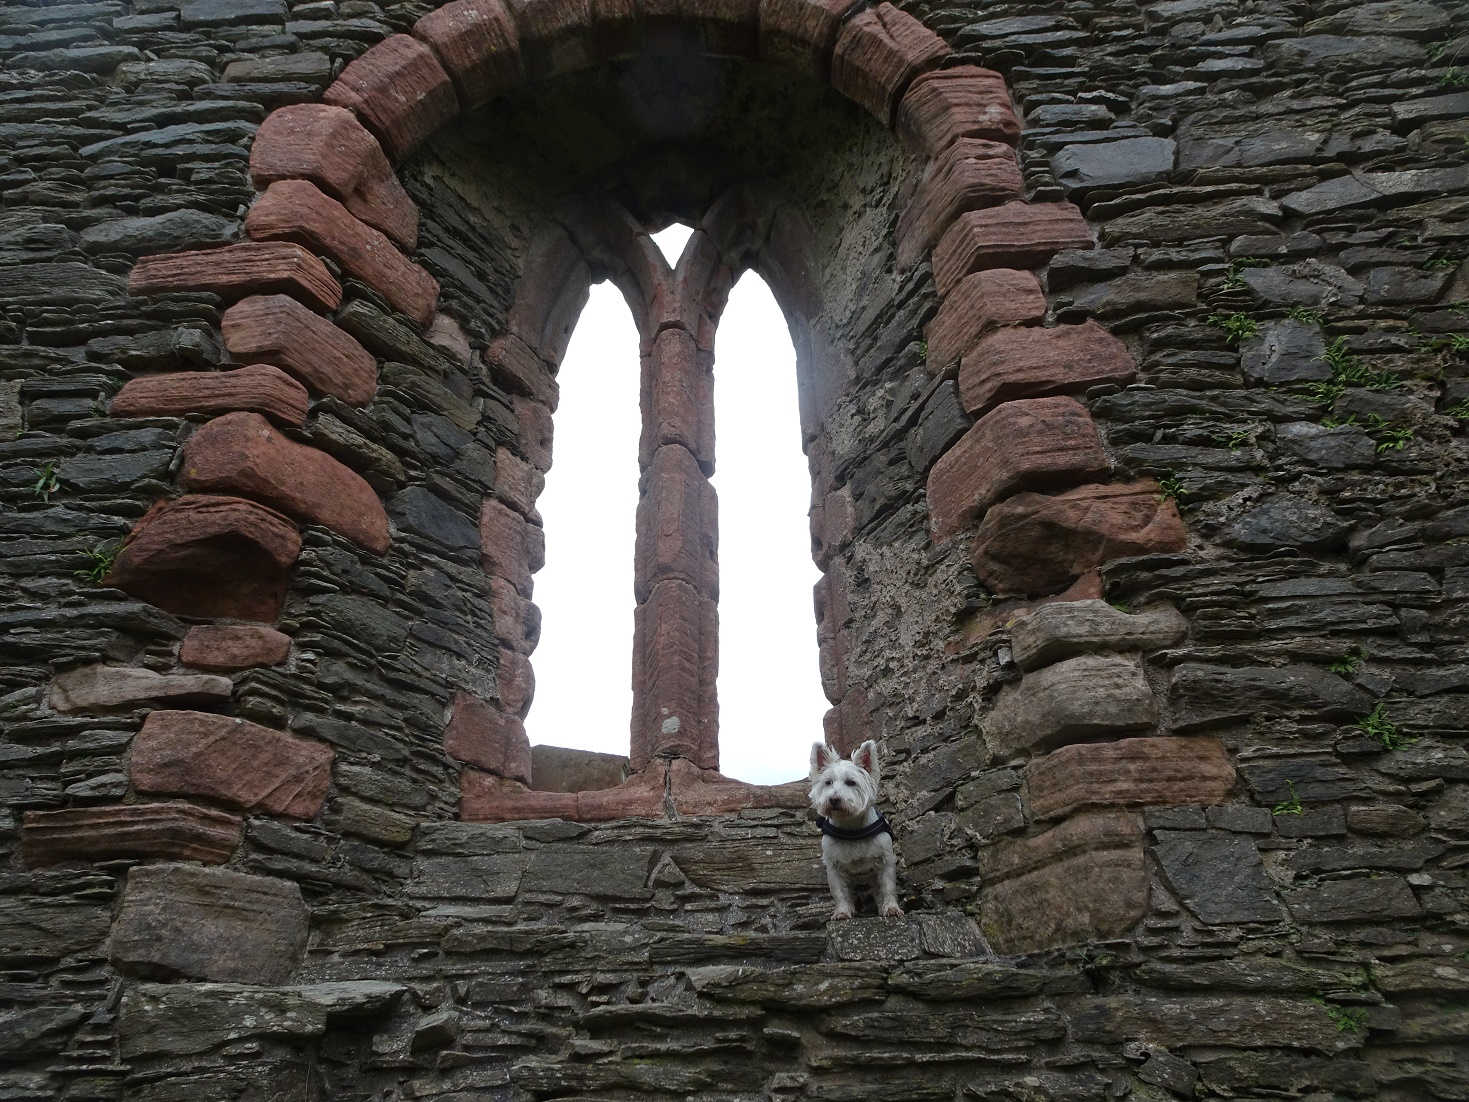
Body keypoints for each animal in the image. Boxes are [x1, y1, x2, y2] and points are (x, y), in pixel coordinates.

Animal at [810, 743, 899, 922]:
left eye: (851, 782)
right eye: (828, 782)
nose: (833, 799)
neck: (851, 827)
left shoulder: (885, 859)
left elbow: (887, 886)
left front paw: (891, 908)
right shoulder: (834, 866)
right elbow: (840, 892)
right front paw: (842, 912)